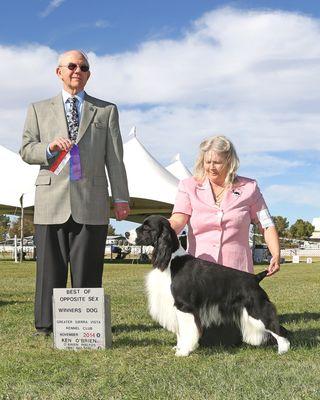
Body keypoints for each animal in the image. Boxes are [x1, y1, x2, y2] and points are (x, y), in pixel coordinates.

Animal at [125, 216, 290, 356]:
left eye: (146, 227)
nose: (126, 233)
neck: (171, 260)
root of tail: (256, 277)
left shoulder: (184, 306)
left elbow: (186, 330)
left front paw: (183, 351)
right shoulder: (176, 306)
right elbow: (180, 331)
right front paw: (178, 347)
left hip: (256, 308)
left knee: (278, 328)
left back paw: (282, 350)